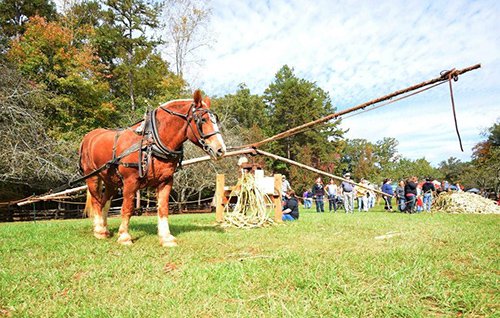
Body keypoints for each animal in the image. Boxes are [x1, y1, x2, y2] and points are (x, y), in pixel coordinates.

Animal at [80, 90, 227, 247]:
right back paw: (99, 230)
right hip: (92, 177)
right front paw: (124, 236)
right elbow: (127, 208)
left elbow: (163, 208)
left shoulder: (166, 181)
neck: (152, 141)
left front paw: (166, 237)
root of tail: (88, 136)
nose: (221, 150)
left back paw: (105, 229)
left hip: (110, 180)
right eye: (202, 120)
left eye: (215, 120)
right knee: (96, 201)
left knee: (104, 202)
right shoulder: (130, 182)